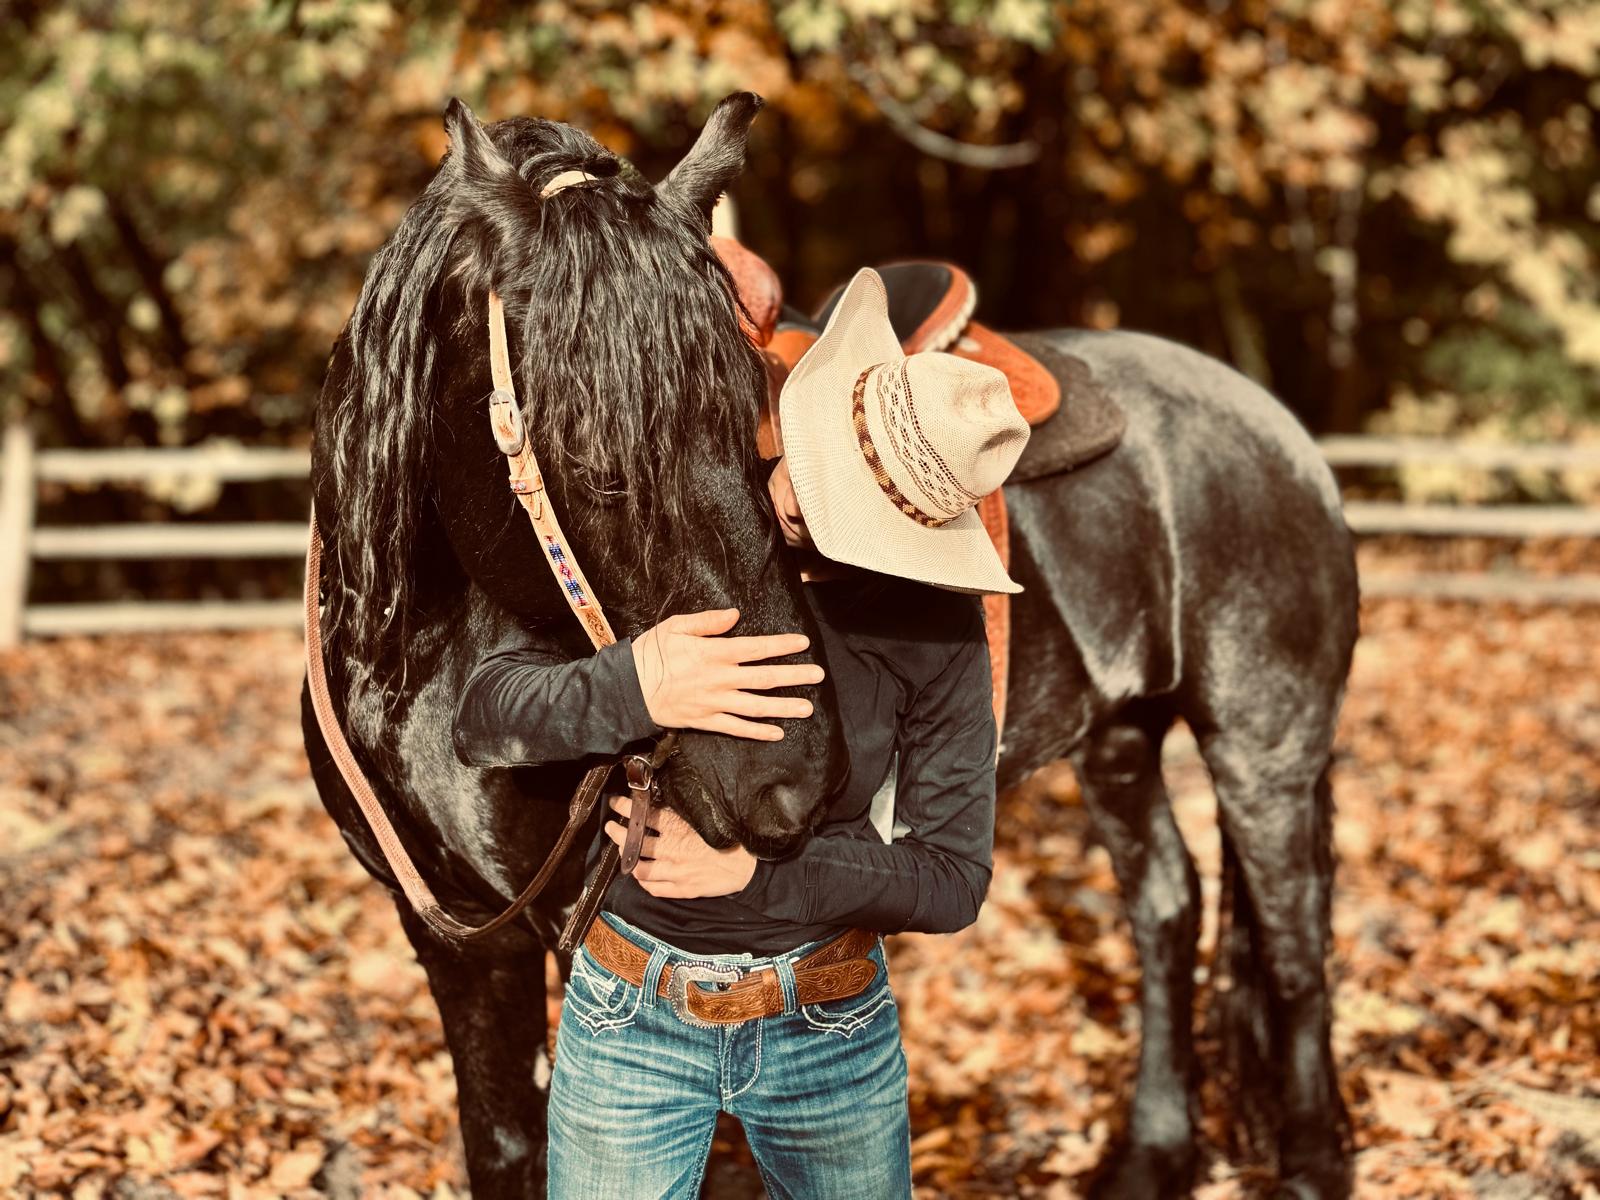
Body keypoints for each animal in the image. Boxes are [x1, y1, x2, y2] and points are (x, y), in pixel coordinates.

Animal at [302, 91, 1357, 1199]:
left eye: (756, 431)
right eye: (596, 465)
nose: (795, 785)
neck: (419, 661)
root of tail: (1275, 429)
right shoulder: (459, 941)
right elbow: (504, 1144)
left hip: (1262, 747)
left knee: (1294, 943)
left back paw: (1310, 1163)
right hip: (1120, 737)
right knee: (1167, 906)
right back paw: (1152, 1154)